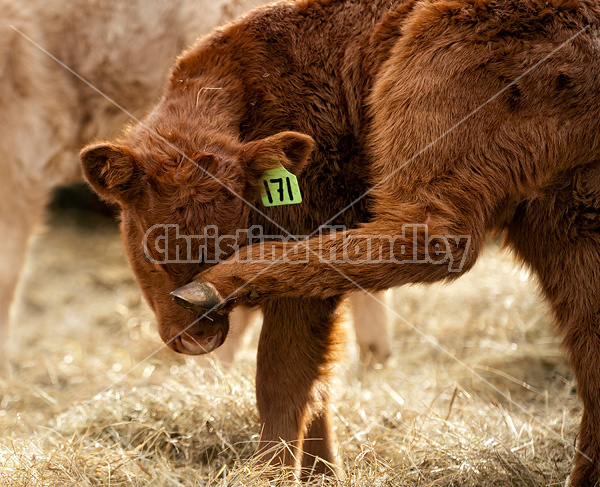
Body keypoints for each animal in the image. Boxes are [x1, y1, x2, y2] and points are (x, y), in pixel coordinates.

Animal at [82, 1, 600, 486]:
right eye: (150, 250)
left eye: (232, 240)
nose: (198, 339)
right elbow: (317, 385)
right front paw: (324, 474)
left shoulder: (306, 260)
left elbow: (282, 380)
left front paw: (272, 474)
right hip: (569, 223)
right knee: (588, 346)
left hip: (428, 94)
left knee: (430, 240)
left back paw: (219, 284)